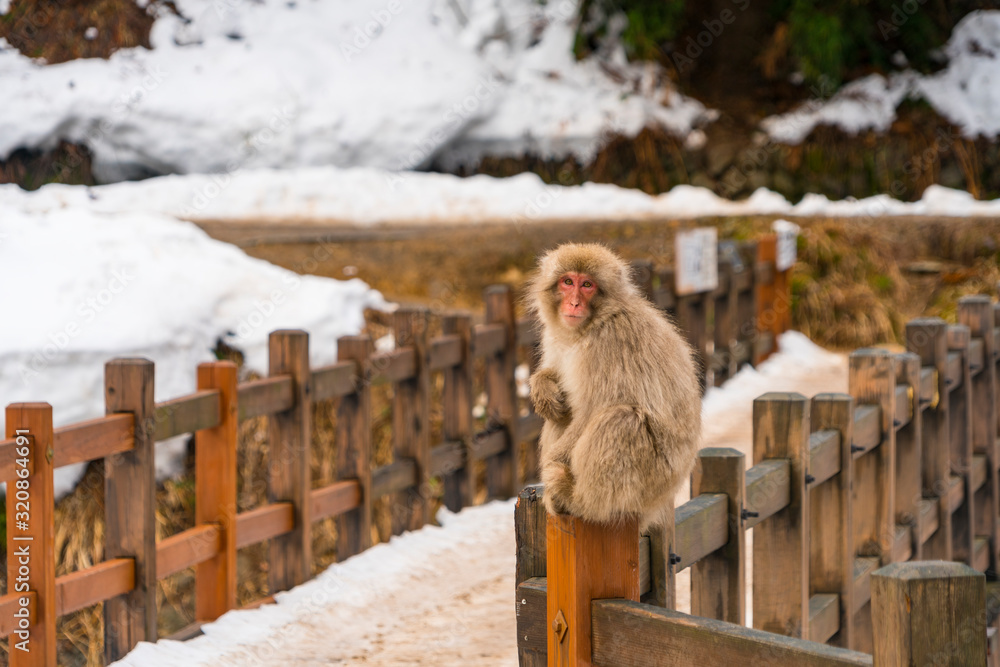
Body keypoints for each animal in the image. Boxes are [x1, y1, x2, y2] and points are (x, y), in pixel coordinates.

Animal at [527, 243, 701, 531]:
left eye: (587, 285)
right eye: (567, 282)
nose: (574, 303)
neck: (590, 326)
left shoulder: (609, 342)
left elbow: (591, 410)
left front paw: (549, 466)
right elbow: (557, 383)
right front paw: (541, 386)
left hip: (651, 483)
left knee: (621, 419)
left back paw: (577, 500)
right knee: (561, 414)